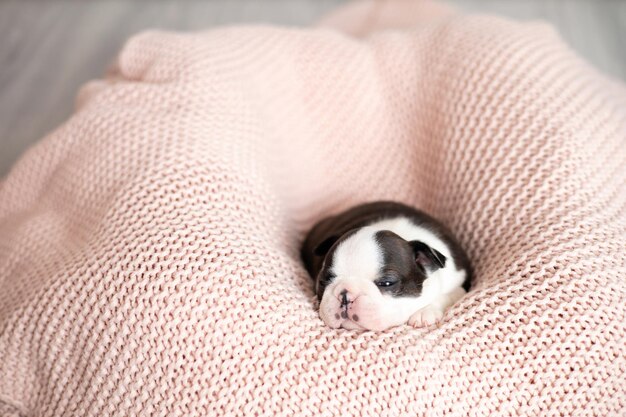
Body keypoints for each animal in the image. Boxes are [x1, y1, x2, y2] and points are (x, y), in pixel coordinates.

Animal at [302, 200, 468, 330]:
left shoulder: (459, 282)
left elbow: (450, 294)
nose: (346, 296)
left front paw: (426, 311)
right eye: (323, 281)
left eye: (387, 283)